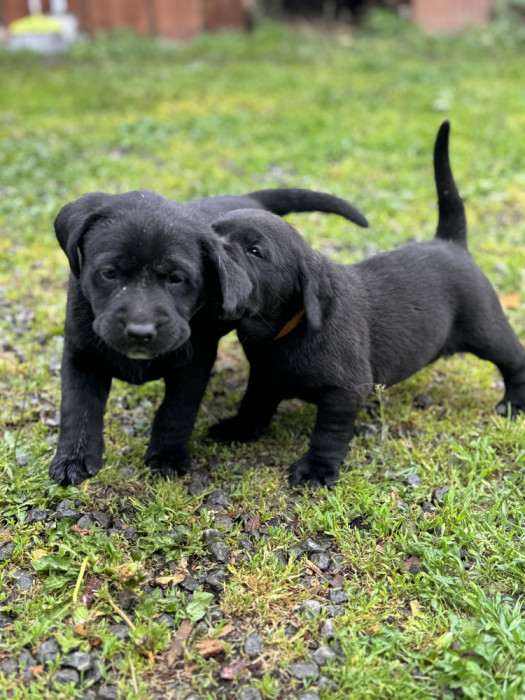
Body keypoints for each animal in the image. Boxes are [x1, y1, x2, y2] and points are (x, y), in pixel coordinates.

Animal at [50, 186, 368, 484]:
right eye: (109, 273)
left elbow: (176, 413)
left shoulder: (194, 363)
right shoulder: (81, 357)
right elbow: (79, 410)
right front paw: (74, 459)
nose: (140, 332)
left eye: (177, 279)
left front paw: (167, 457)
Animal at [209, 123, 524, 486]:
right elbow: (252, 406)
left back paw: (514, 404)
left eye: (255, 251)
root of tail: (450, 242)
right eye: (213, 229)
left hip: (486, 329)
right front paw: (238, 430)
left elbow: (328, 434)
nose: (209, 245)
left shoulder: (344, 393)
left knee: (514, 360)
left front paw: (317, 469)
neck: (288, 327)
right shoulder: (263, 376)